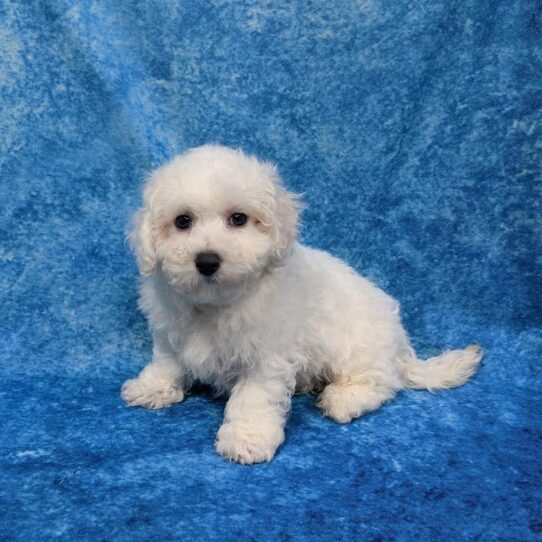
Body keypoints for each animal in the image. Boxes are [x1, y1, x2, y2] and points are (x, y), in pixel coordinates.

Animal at [123, 146, 484, 468]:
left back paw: (343, 399)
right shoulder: (170, 330)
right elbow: (167, 361)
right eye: (182, 221)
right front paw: (152, 387)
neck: (216, 304)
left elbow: (254, 398)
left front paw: (247, 439)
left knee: (382, 383)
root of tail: (400, 350)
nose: (207, 261)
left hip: (359, 348)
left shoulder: (267, 357)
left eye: (238, 219)